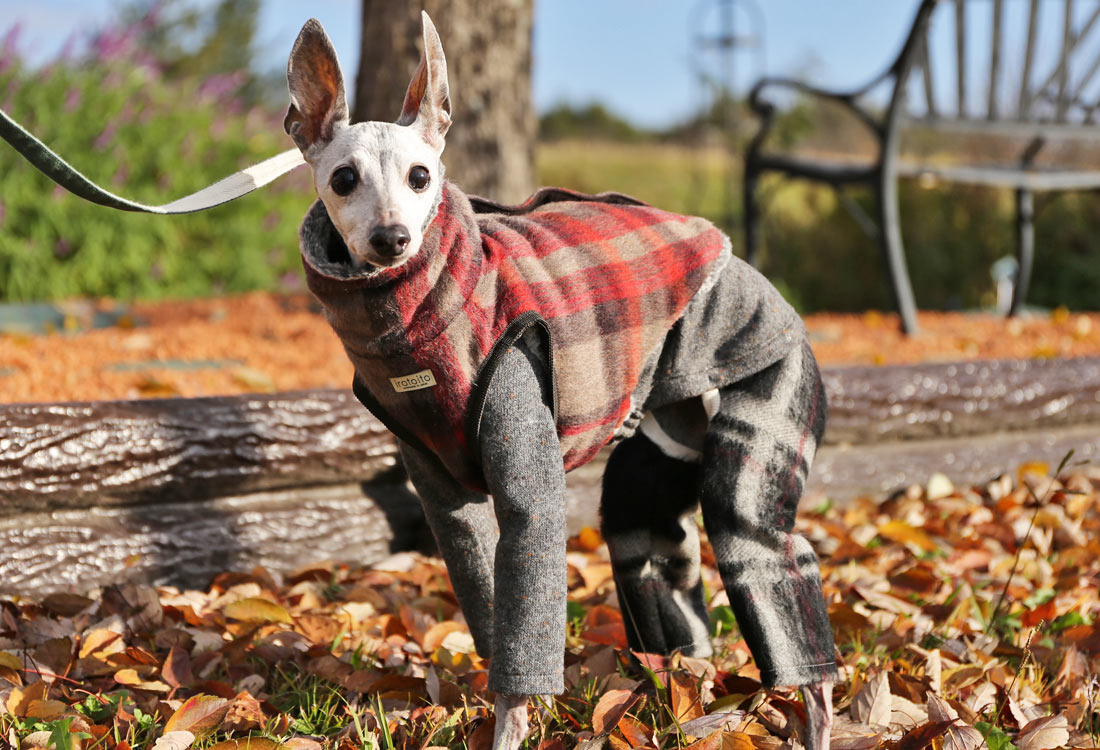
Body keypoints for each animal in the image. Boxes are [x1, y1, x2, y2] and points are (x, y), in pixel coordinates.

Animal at [283, 11, 831, 747]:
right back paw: (686, 695)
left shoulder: (530, 496)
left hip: (770, 396)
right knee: (651, 547)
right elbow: (487, 599)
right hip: (656, 464)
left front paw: (512, 724)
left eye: (421, 176)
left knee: (756, 542)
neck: (419, 320)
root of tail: (739, 263)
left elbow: (526, 613)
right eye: (343, 178)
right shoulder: (445, 499)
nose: (392, 239)